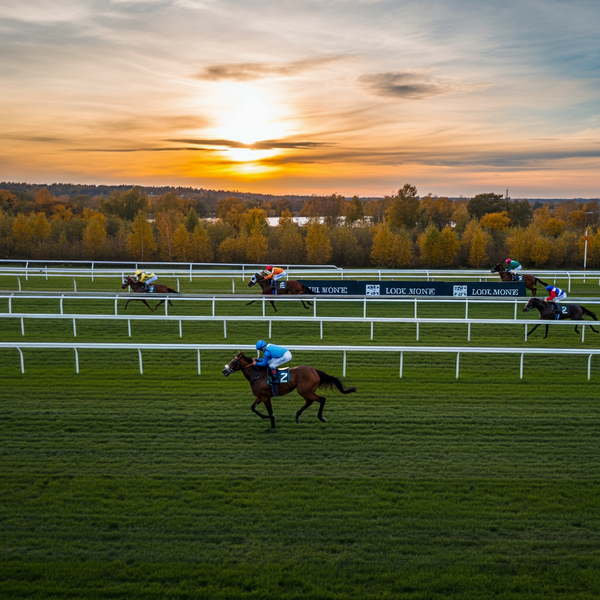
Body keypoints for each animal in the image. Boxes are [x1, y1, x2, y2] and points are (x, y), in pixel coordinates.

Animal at [224, 352, 356, 426]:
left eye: (234, 361)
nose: (224, 371)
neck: (257, 375)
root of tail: (314, 370)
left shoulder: (266, 397)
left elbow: (270, 411)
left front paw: (273, 423)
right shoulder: (260, 396)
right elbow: (253, 408)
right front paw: (269, 418)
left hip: (304, 390)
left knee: (321, 399)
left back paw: (321, 417)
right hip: (306, 391)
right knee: (310, 401)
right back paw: (297, 417)